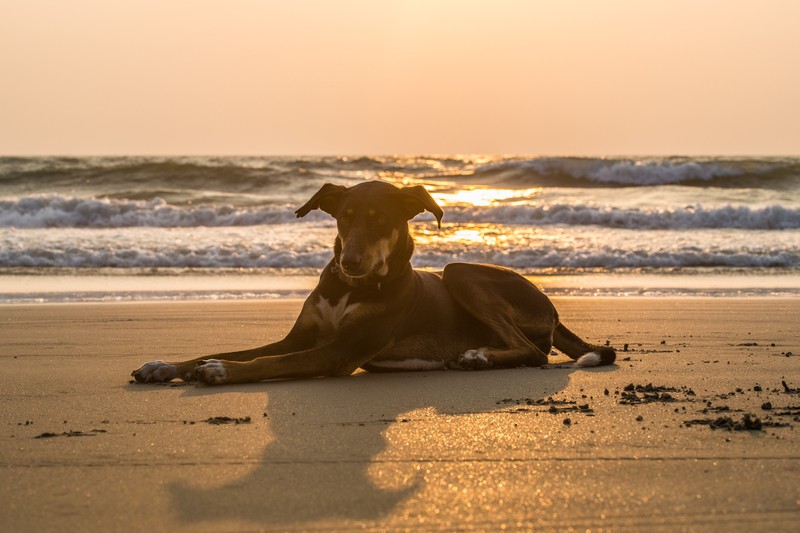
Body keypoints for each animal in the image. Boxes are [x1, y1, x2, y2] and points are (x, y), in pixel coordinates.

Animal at [131, 181, 616, 384]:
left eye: (381, 220)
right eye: (344, 217)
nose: (350, 261)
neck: (351, 289)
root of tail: (553, 308)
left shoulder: (340, 351)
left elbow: (268, 362)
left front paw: (220, 371)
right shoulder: (299, 337)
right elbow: (244, 350)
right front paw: (166, 366)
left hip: (460, 272)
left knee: (535, 352)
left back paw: (479, 357)